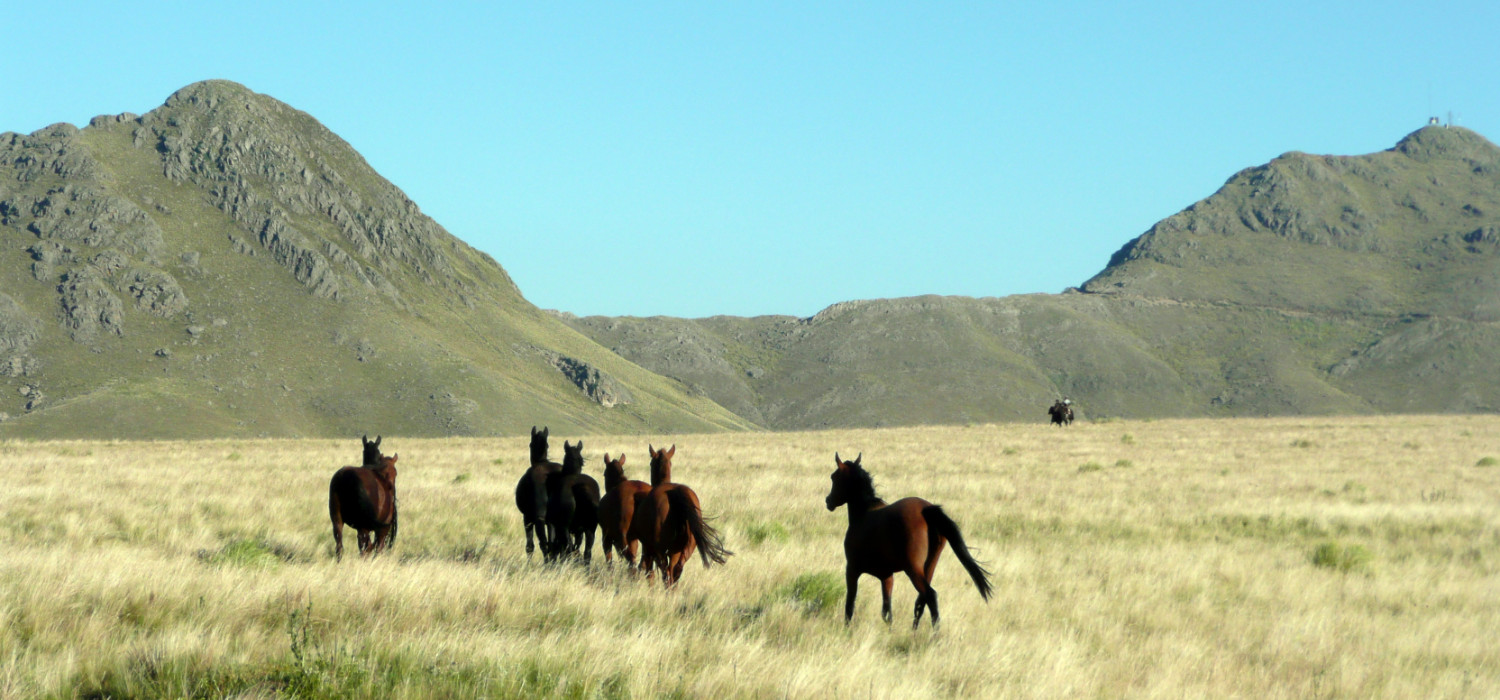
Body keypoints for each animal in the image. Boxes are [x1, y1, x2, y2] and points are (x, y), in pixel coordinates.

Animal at [627, 446, 732, 590]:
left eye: (650, 463)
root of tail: (674, 492)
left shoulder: (649, 548)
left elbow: (648, 570)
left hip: (660, 551)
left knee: (666, 572)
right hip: (685, 549)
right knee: (676, 570)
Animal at [828, 455, 990, 629]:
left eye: (834, 477)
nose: (828, 501)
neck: (864, 513)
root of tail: (926, 510)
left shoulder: (852, 570)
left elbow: (850, 605)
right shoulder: (887, 577)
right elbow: (887, 612)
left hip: (912, 569)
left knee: (930, 595)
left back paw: (934, 632)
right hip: (929, 566)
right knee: (921, 600)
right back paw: (914, 630)